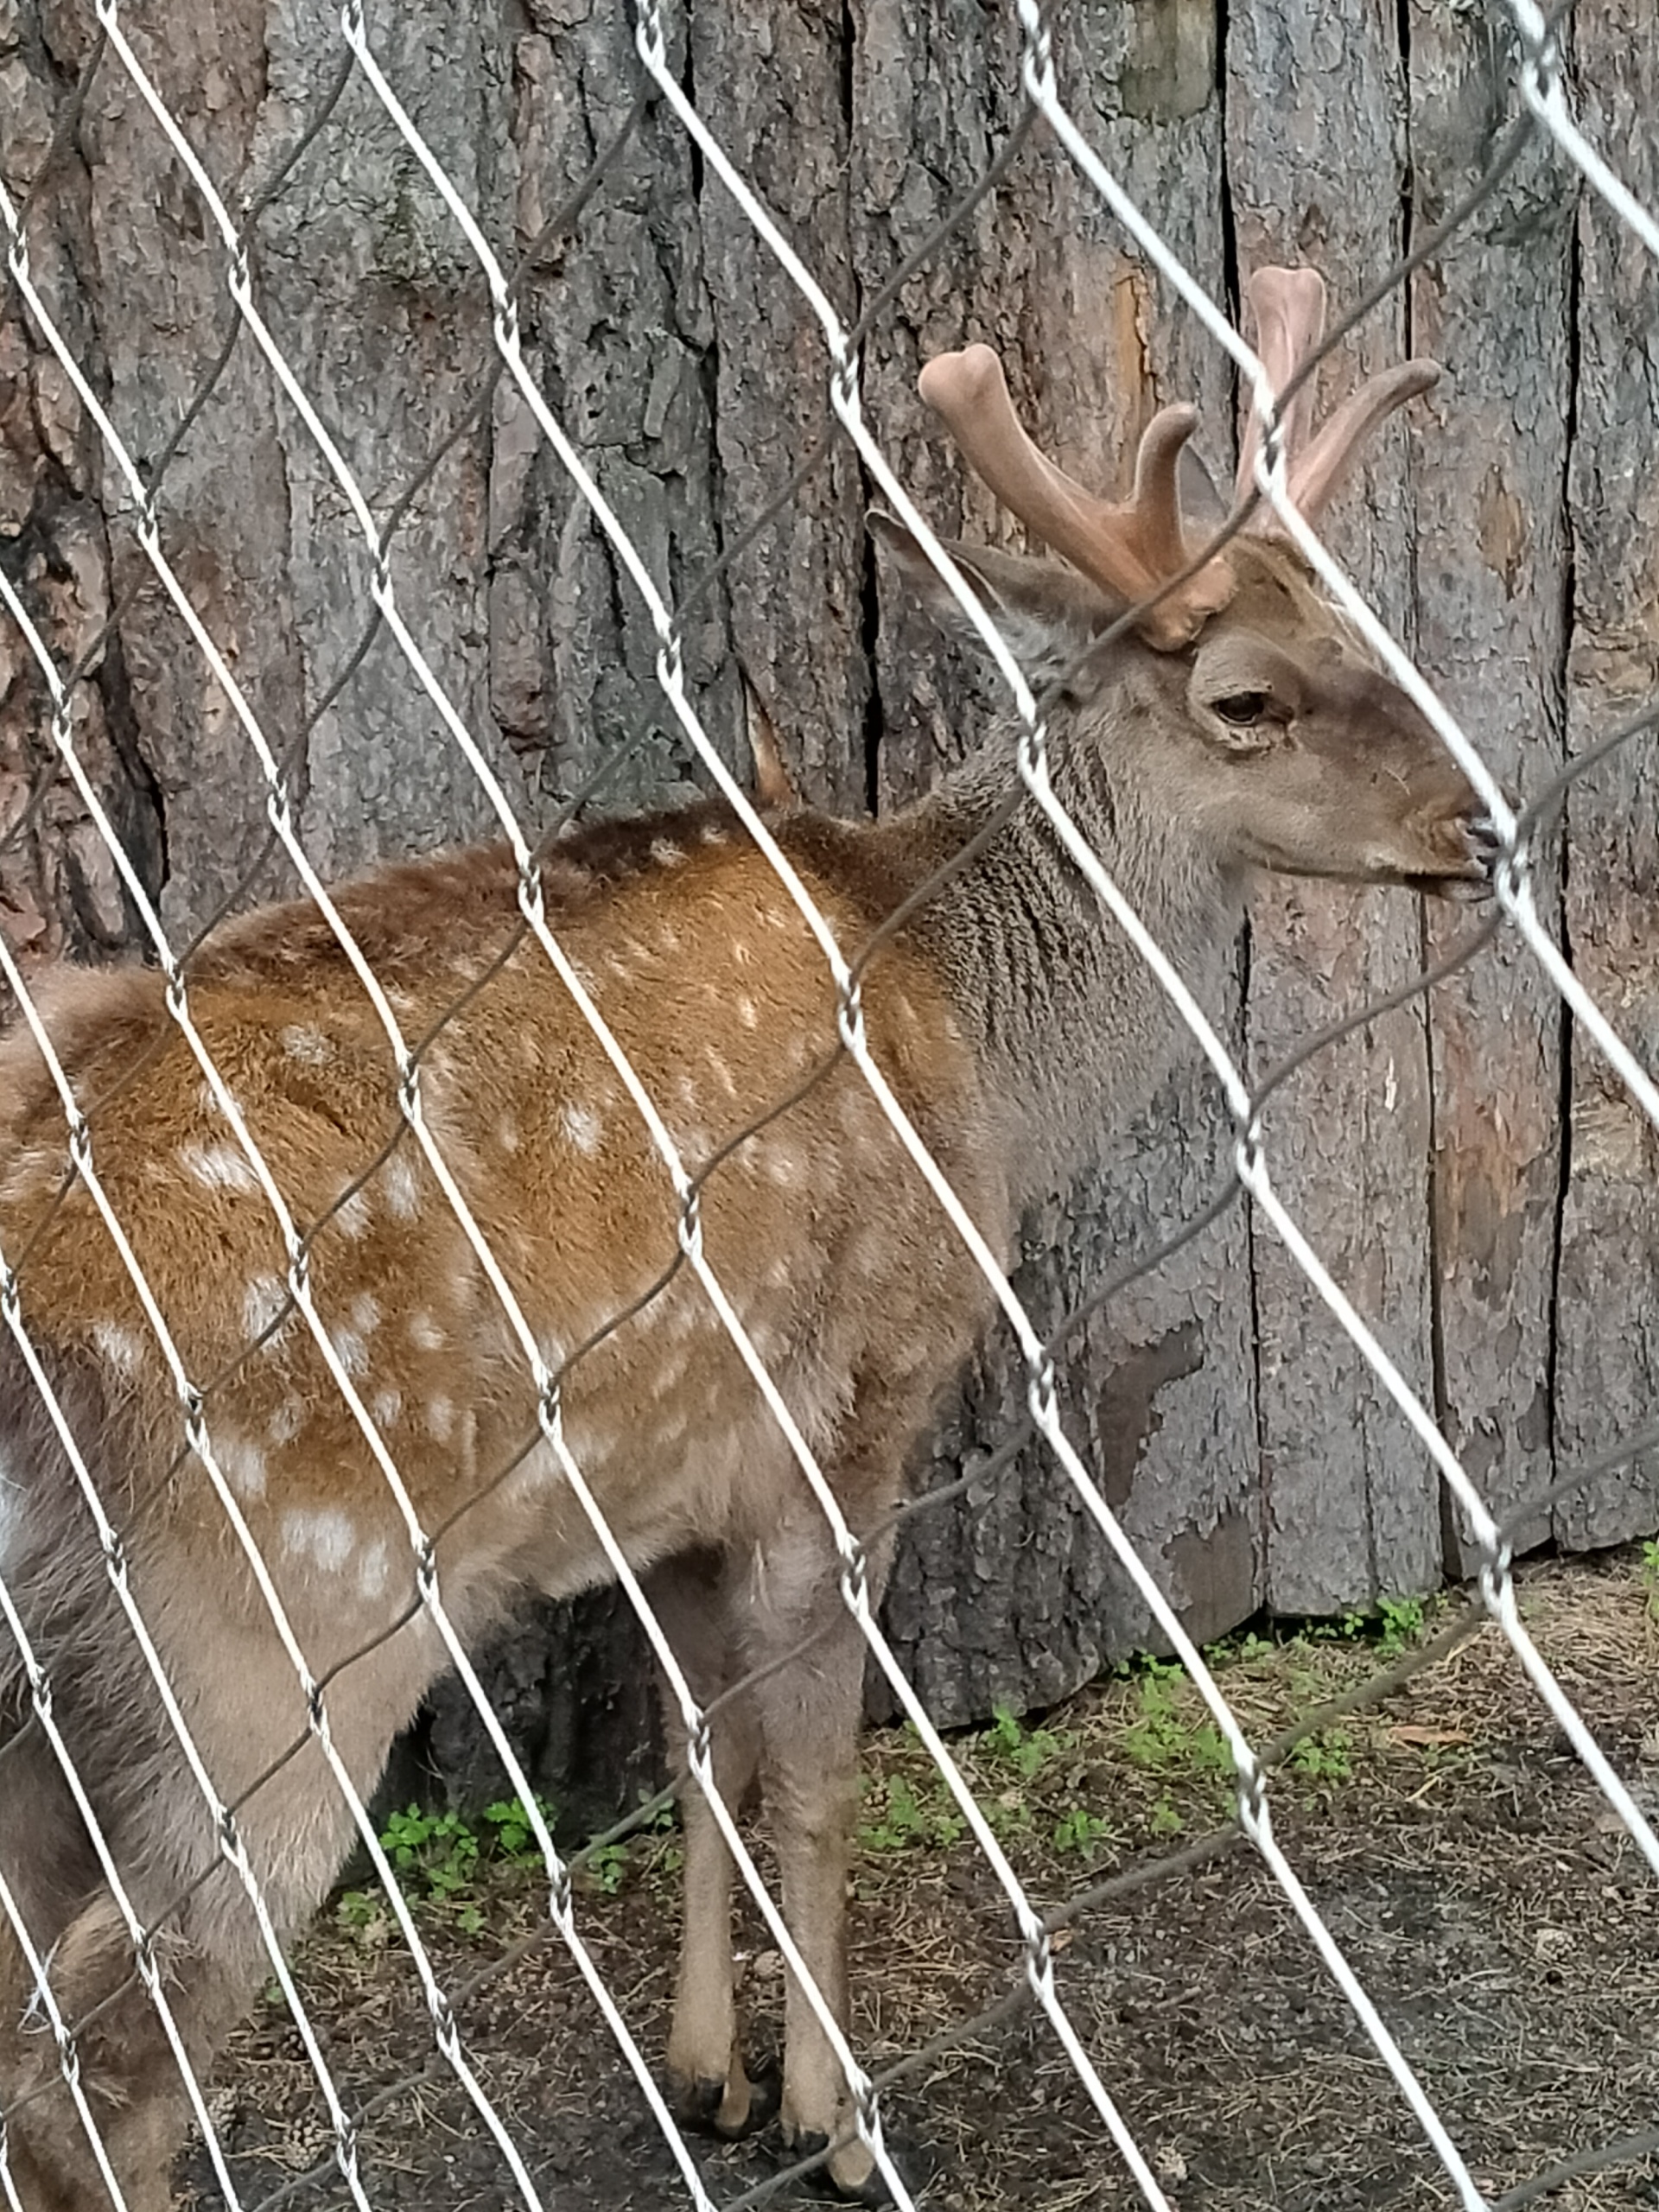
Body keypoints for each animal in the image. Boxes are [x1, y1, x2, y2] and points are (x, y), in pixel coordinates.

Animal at [3, 267, 1495, 2202]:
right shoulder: (852, 1402)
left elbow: (701, 1748)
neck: (978, 1042)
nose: (1477, 822)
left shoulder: (667, 1481)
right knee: (97, 2056)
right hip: (266, 1623)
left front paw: (704, 2070)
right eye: (1248, 696)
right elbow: (818, 1774)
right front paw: (831, 2114)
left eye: (1365, 629)